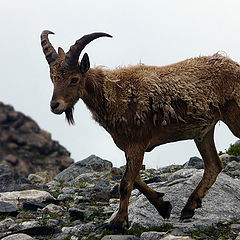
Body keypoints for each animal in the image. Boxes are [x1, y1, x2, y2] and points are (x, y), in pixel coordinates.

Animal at [40, 30, 240, 229]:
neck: (112, 92)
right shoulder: (127, 145)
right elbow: (134, 178)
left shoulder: (138, 142)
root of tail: (234, 66)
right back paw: (188, 208)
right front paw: (163, 206)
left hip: (233, 117)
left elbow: (126, 183)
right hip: (203, 132)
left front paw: (119, 221)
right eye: (53, 78)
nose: (55, 106)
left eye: (74, 79)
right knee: (214, 165)